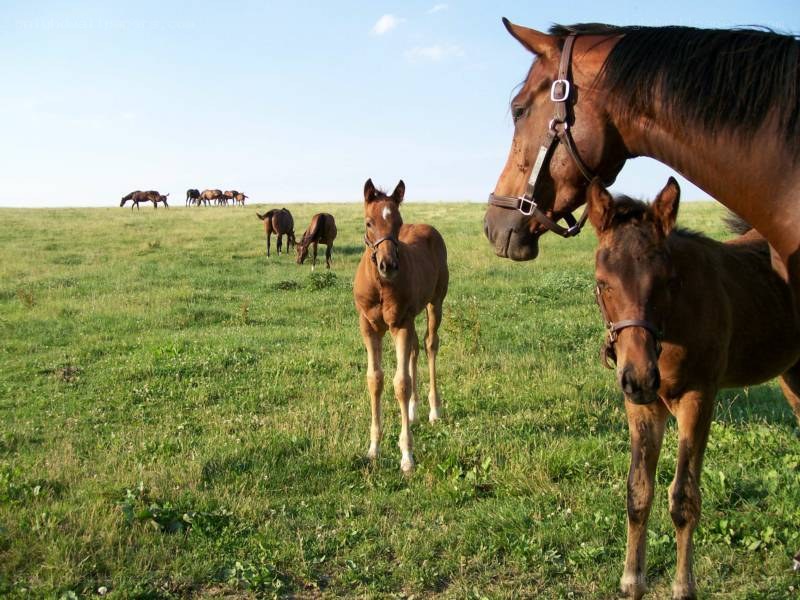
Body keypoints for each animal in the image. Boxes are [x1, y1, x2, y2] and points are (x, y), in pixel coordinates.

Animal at [354, 179, 448, 472]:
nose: (389, 265)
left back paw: (433, 410)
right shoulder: (368, 327)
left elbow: (401, 383)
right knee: (416, 350)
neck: (381, 286)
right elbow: (375, 379)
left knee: (429, 346)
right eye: (368, 222)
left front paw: (407, 454)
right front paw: (373, 448)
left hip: (434, 303)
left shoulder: (401, 324)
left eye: (398, 223)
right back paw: (414, 410)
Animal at [587, 177, 800, 599]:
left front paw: (684, 587)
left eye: (668, 281)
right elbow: (638, 491)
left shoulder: (698, 398)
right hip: (792, 373)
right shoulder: (642, 404)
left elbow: (684, 497)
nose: (639, 377)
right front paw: (632, 580)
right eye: (603, 283)